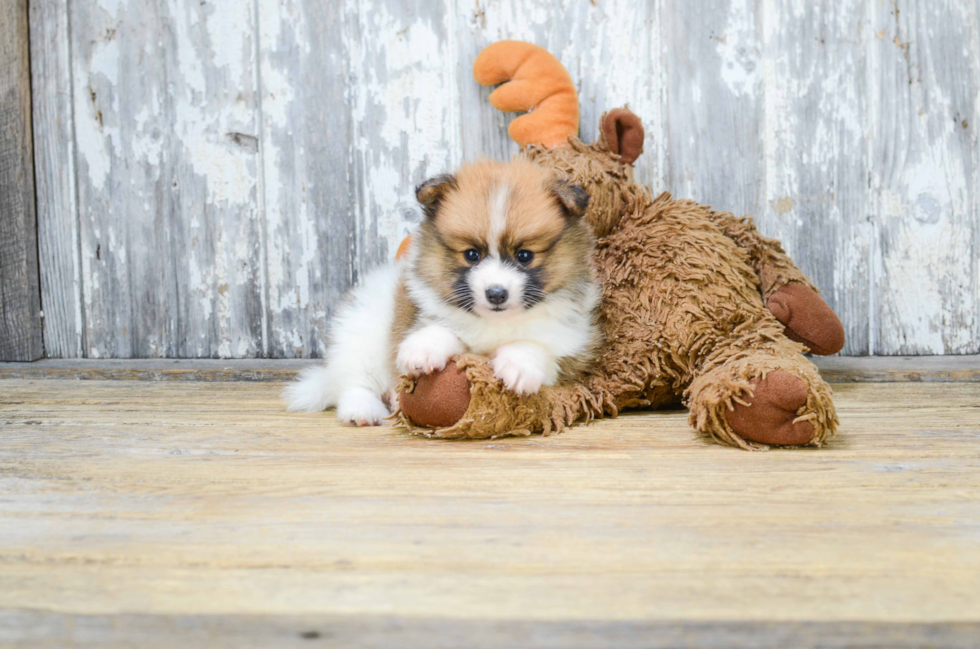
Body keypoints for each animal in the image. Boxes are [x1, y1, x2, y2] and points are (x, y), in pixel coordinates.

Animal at [284, 158, 600, 426]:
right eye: (471, 255)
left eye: (524, 256)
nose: (496, 294)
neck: (496, 323)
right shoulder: (425, 316)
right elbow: (443, 329)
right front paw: (422, 351)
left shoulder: (571, 350)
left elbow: (537, 347)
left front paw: (519, 366)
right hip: (360, 335)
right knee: (352, 382)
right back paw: (363, 411)